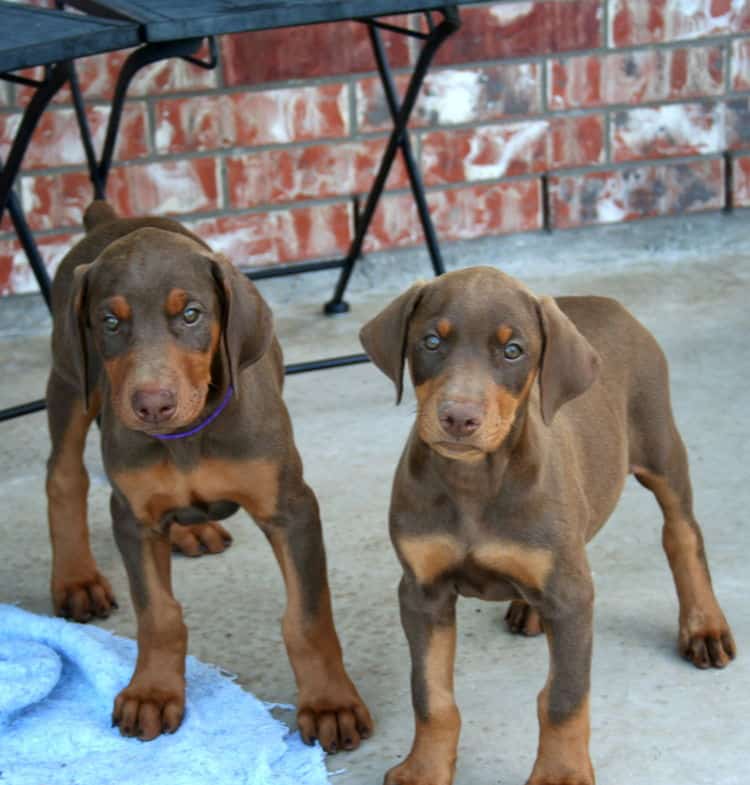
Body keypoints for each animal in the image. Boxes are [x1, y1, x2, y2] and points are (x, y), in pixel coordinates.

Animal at [44, 201, 374, 748]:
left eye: (191, 314)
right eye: (110, 322)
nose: (152, 405)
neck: (187, 437)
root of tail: (106, 218)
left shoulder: (292, 508)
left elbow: (306, 618)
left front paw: (330, 702)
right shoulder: (132, 516)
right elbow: (158, 613)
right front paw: (152, 692)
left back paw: (191, 530)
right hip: (72, 381)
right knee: (63, 475)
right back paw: (77, 580)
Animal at [362, 264, 736, 784]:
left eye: (513, 351)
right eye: (431, 342)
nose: (458, 417)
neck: (474, 480)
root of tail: (605, 301)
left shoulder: (571, 596)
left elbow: (563, 698)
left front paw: (560, 774)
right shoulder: (422, 590)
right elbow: (431, 695)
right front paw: (425, 769)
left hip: (661, 445)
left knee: (682, 533)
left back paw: (703, 626)